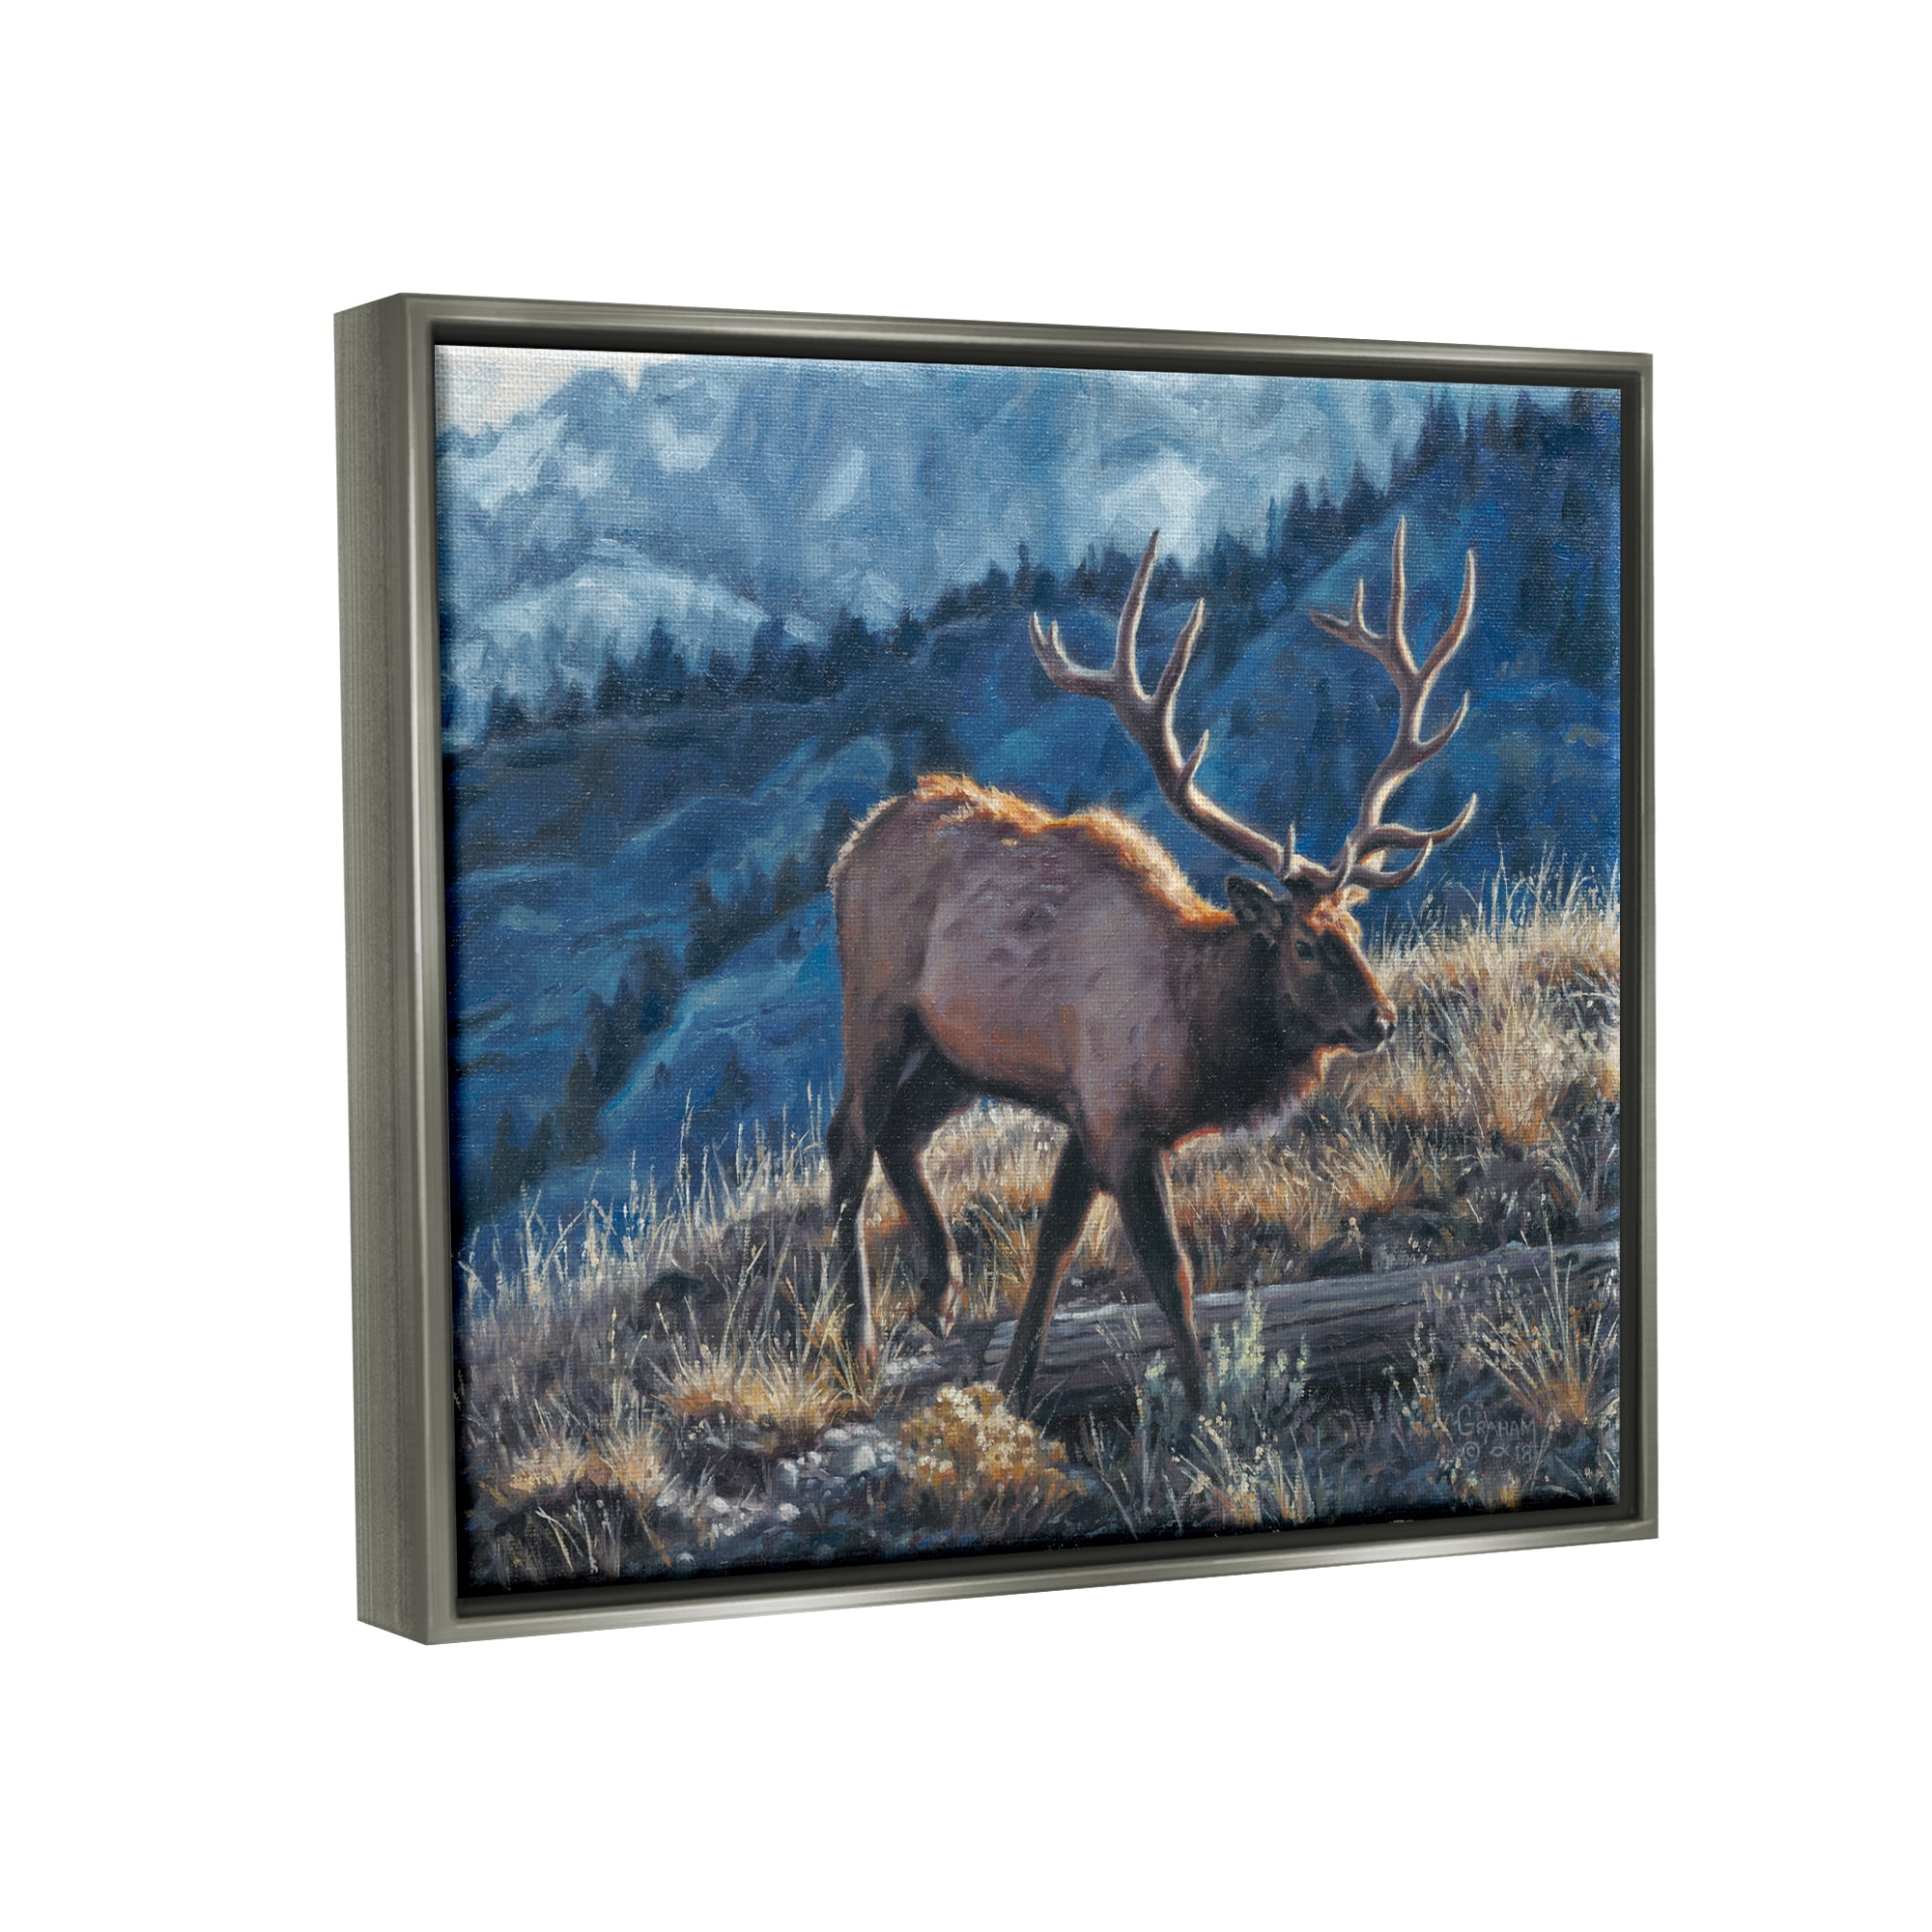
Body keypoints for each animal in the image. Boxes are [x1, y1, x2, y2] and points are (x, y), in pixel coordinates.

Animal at [825, 519, 1479, 1411]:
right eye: (1306, 944)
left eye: (1355, 927)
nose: (1379, 1018)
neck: (1196, 1030)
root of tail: (849, 850)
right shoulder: (1118, 1118)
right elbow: (1169, 1272)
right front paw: (1205, 1412)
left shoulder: (1086, 1115)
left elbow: (1054, 1249)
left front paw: (1014, 1389)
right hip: (876, 1006)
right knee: (849, 1145)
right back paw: (857, 1346)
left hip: (954, 1054)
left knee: (899, 1132)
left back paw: (940, 1293)